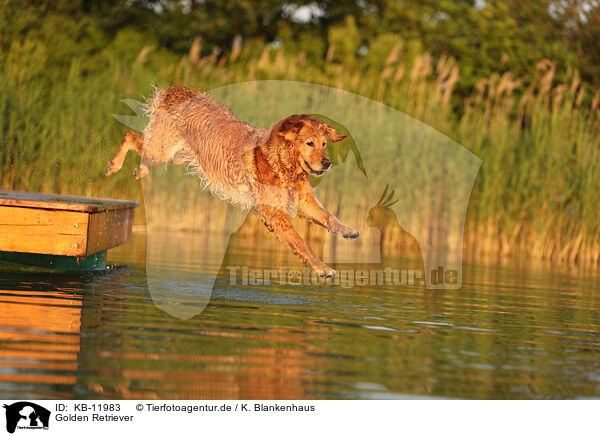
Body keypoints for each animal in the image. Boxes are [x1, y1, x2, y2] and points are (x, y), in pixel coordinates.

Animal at [105, 85, 358, 278]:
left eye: (324, 144)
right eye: (309, 143)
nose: (327, 162)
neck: (283, 165)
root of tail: (180, 91)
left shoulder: (305, 202)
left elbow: (328, 216)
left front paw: (348, 231)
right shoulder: (273, 212)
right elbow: (300, 241)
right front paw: (322, 268)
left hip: (180, 157)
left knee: (143, 149)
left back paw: (140, 171)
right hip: (163, 150)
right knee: (131, 137)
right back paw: (114, 166)